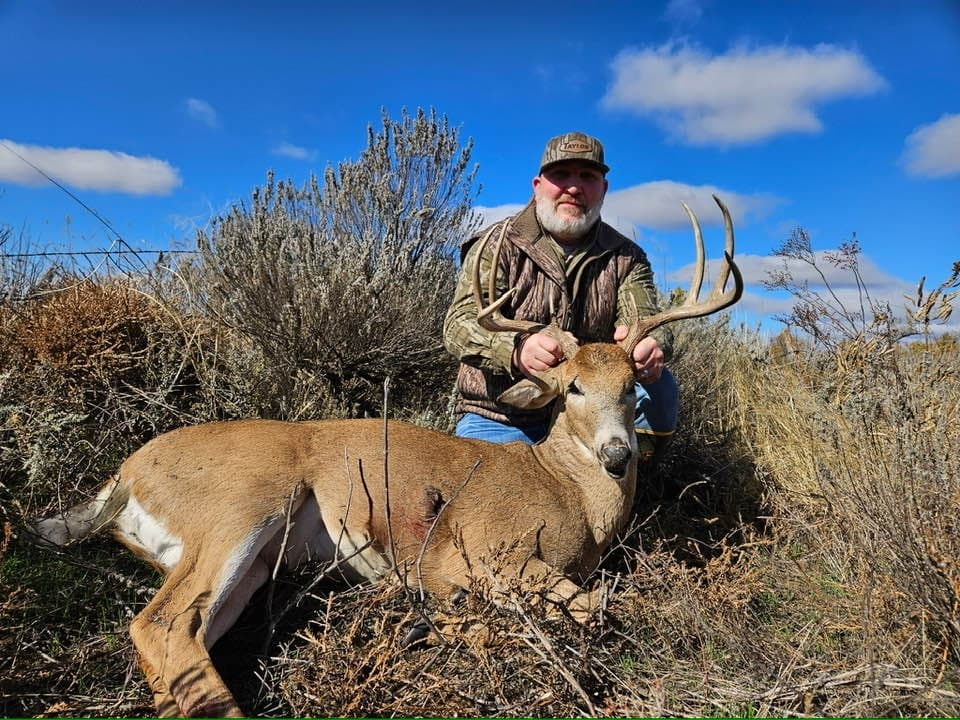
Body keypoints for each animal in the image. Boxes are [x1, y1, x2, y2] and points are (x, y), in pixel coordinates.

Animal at [32, 195, 743, 717]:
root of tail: (126, 474)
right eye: (572, 387)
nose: (618, 453)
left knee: (185, 637)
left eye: (632, 387)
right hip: (242, 507)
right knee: (158, 625)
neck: (567, 493)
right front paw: (447, 625)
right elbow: (593, 608)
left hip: (255, 560)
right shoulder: (484, 551)